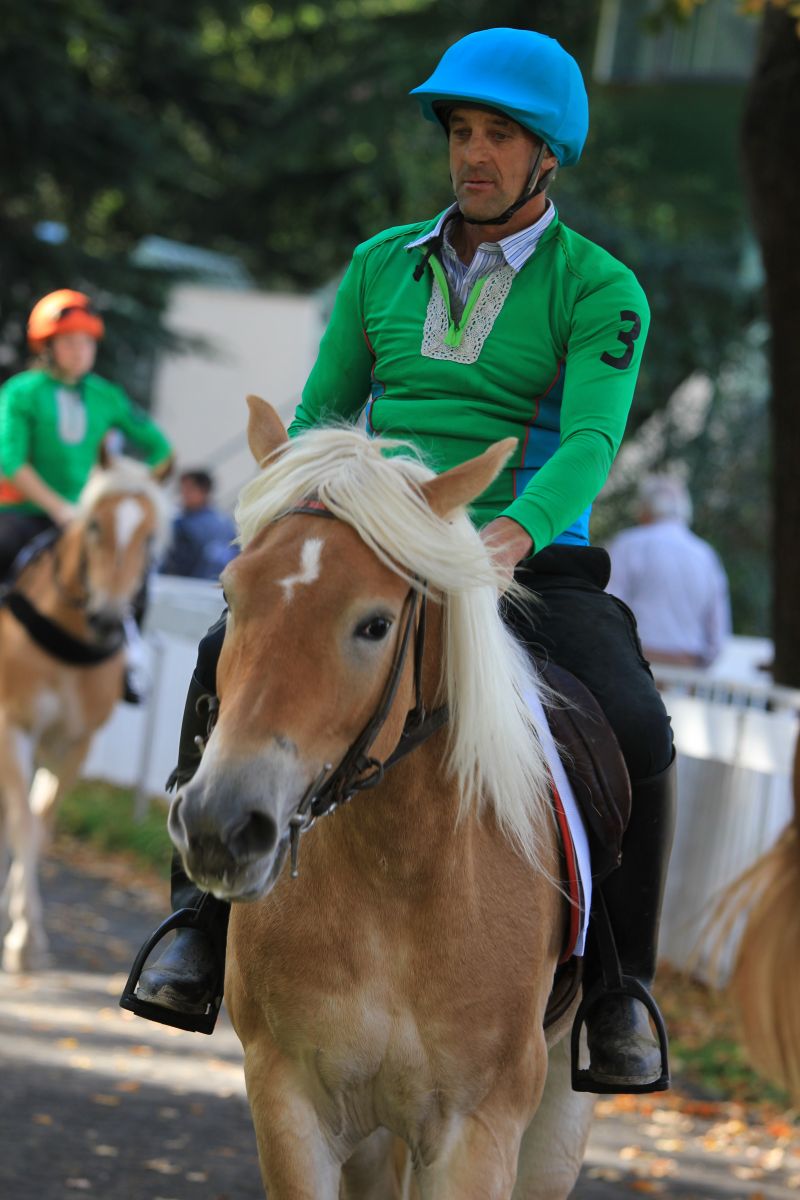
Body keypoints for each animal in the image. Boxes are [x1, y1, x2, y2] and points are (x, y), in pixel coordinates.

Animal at [0, 457, 168, 973]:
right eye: (94, 525)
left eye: (150, 539)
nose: (109, 617)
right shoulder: (13, 726)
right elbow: (24, 823)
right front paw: (22, 938)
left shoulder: (76, 742)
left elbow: (40, 824)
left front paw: (24, 928)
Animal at [168, 395, 596, 1199]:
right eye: (230, 595)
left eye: (375, 624)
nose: (220, 823)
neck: (395, 878)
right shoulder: (292, 1102)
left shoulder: (479, 1136)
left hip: (559, 1118)